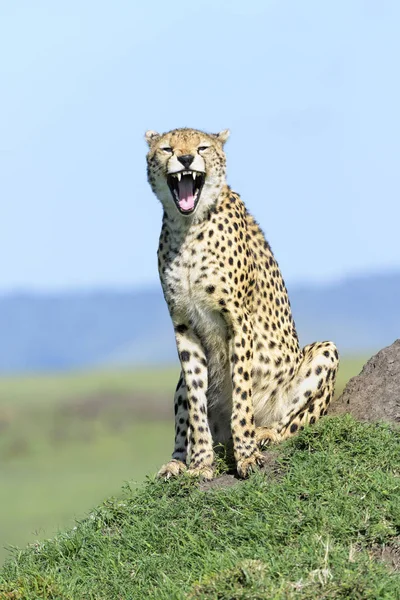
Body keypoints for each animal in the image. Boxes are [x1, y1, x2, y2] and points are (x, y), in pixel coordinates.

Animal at [145, 129, 340, 480]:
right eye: (167, 148)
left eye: (202, 148)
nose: (185, 158)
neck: (188, 227)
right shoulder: (183, 327)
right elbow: (196, 404)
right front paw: (200, 464)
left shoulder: (238, 321)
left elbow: (242, 398)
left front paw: (247, 456)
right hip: (180, 382)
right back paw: (176, 463)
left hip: (323, 353)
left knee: (292, 424)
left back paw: (265, 433)